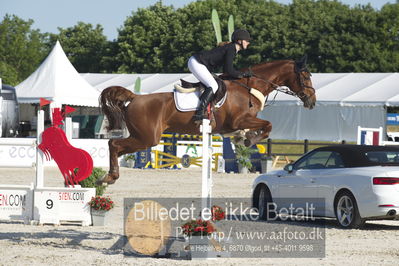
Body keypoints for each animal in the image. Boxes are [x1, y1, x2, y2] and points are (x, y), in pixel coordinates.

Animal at [96, 56, 316, 185]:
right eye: (305, 76)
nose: (312, 101)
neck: (249, 87)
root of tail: (135, 97)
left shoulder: (236, 124)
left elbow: (261, 128)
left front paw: (243, 139)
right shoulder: (239, 120)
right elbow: (268, 126)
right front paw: (248, 140)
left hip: (143, 137)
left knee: (115, 146)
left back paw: (110, 176)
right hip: (147, 138)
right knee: (114, 144)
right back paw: (109, 177)